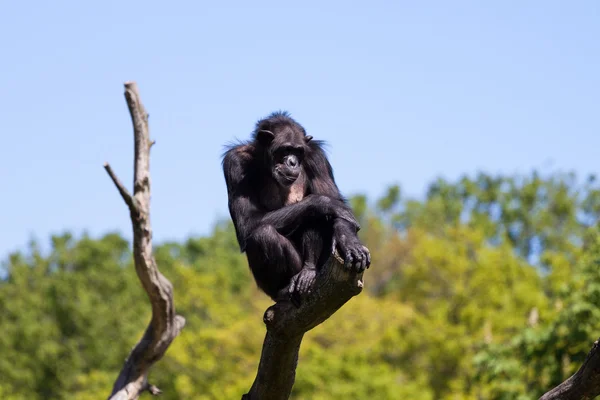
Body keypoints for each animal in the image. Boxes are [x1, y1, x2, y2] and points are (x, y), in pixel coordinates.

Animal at [221, 111, 368, 304]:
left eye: (298, 151)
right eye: (285, 149)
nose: (292, 162)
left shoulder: (316, 157)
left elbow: (336, 206)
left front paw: (348, 238)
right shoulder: (234, 163)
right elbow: (248, 222)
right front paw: (325, 203)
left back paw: (308, 271)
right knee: (264, 234)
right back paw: (283, 290)